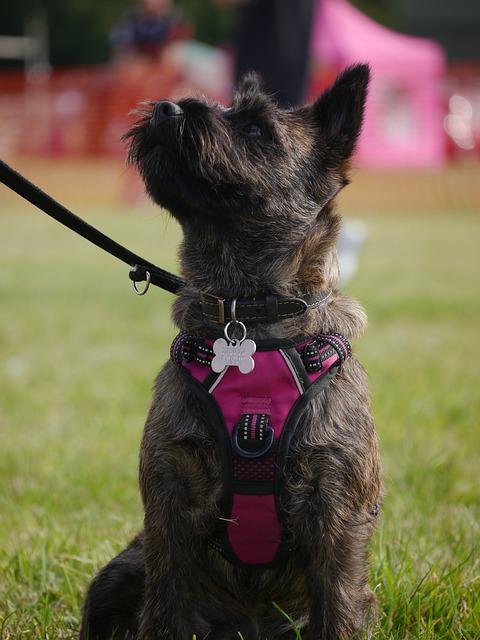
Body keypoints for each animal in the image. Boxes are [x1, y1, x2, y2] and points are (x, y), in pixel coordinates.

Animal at [79, 66, 382, 640]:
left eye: (258, 129)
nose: (167, 110)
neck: (249, 321)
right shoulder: (169, 505)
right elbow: (165, 608)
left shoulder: (334, 512)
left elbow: (336, 609)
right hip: (121, 570)